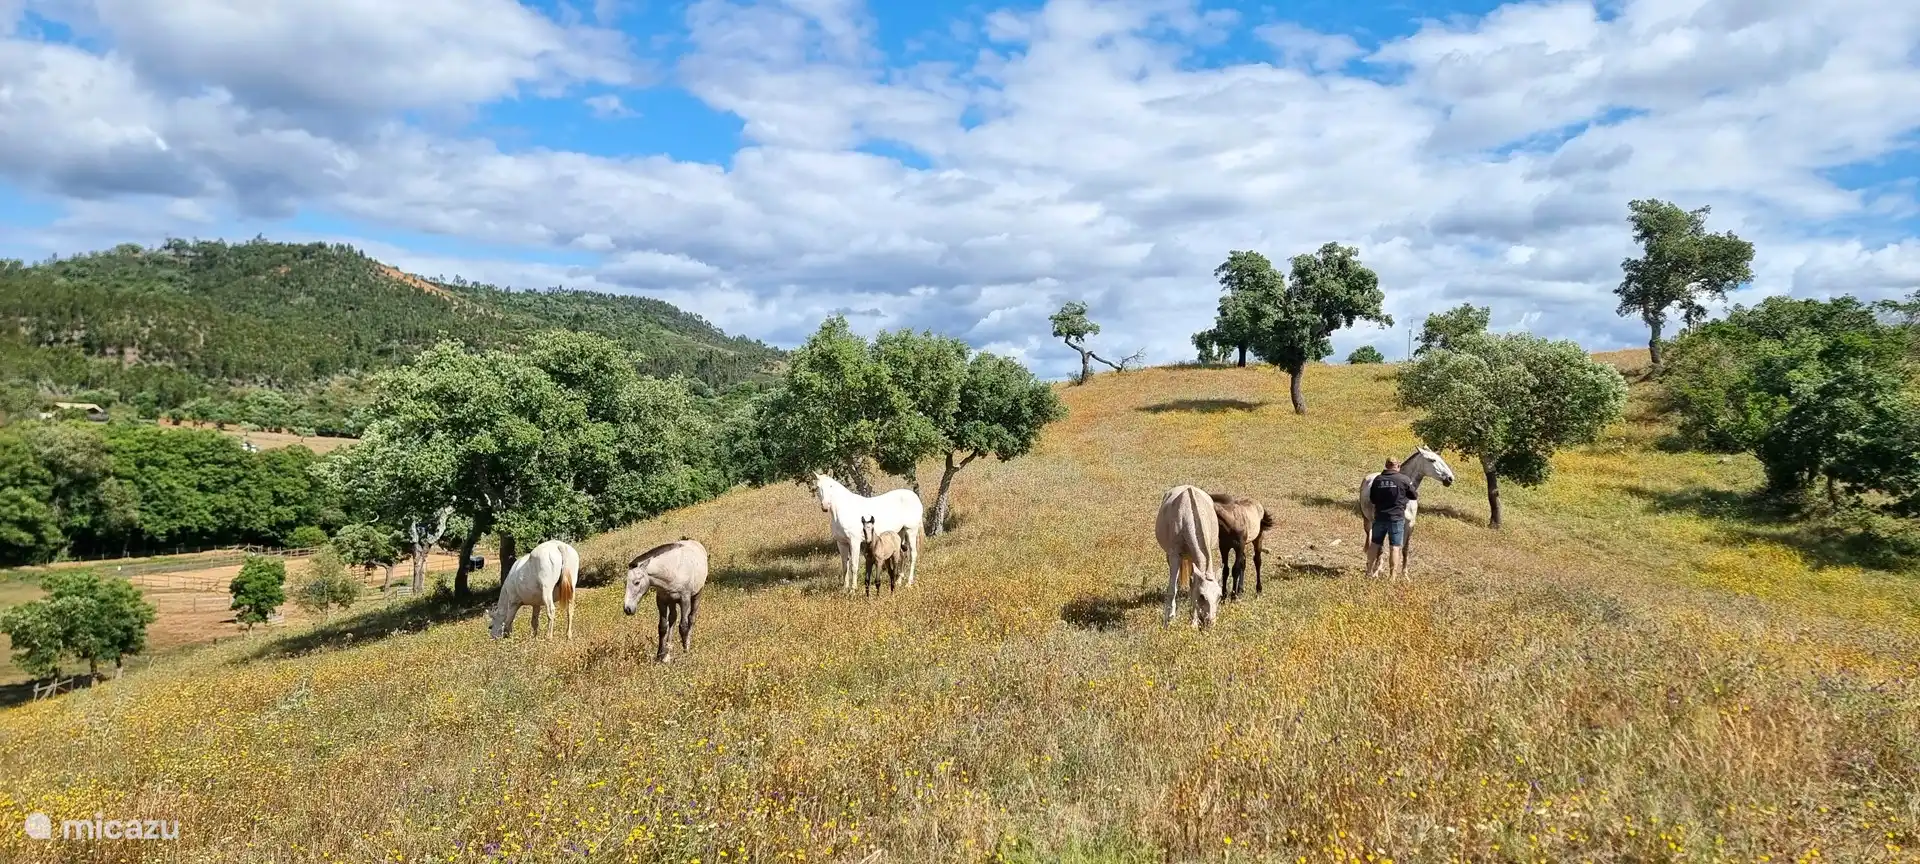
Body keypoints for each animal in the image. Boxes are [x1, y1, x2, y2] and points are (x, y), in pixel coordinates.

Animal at [1155, 484, 1222, 629]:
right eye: (1202, 596)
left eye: (1219, 596)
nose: (1210, 623)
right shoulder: (1174, 556)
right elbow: (1172, 590)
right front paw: (1168, 622)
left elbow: (1193, 589)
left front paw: (1194, 623)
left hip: (1192, 558)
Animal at [1357, 446, 1456, 577]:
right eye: (1432, 460)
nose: (1450, 479)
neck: (1406, 498)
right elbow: (1381, 547)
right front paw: (1376, 571)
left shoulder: (1409, 525)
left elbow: (1404, 549)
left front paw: (1404, 574)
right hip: (1368, 521)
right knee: (1371, 539)